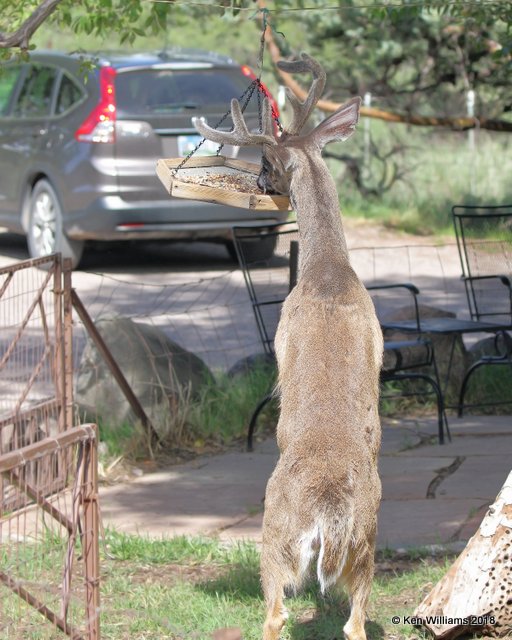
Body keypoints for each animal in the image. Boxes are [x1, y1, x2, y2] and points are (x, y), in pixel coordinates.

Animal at [194, 53, 382, 640]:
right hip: (366, 547)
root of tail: (325, 516)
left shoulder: (283, 331)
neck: (328, 273)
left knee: (276, 613)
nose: (261, 182)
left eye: (265, 158)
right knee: (355, 622)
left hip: (274, 538)